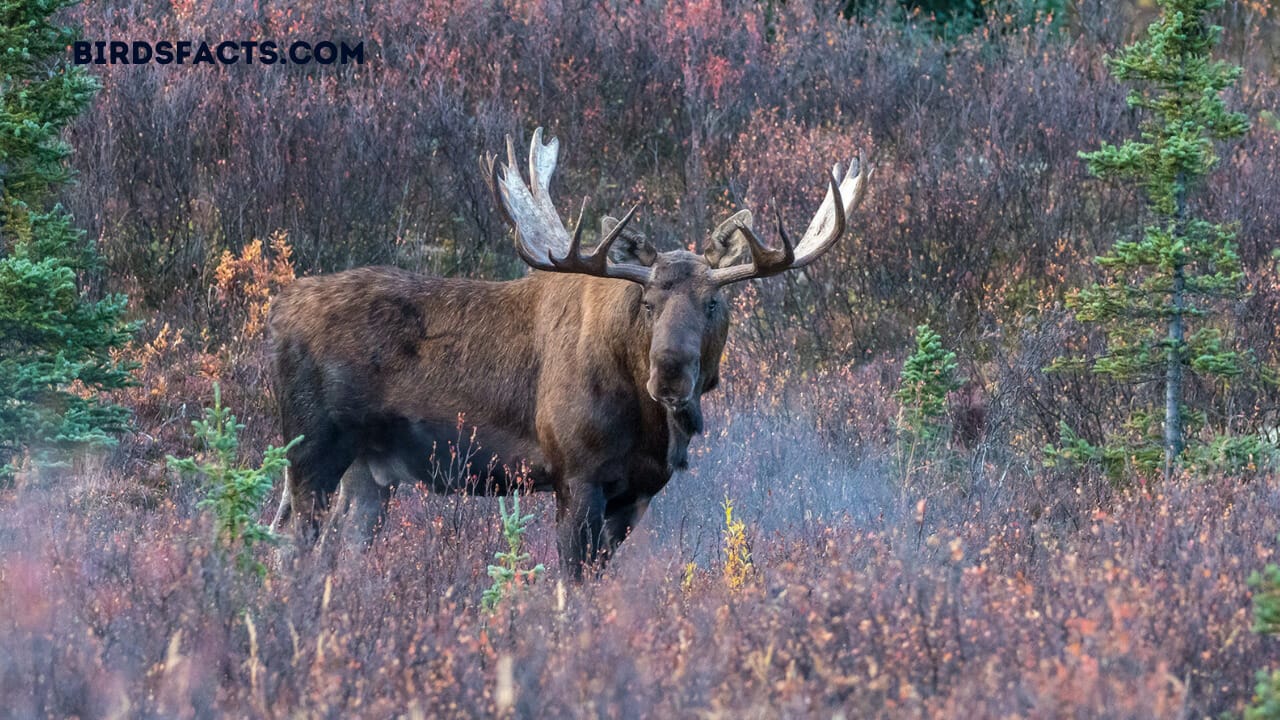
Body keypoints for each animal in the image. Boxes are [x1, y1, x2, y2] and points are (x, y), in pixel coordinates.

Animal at [270, 127, 870, 576]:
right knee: (292, 547)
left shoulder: (636, 493)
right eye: (647, 301)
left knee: (337, 554)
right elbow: (569, 586)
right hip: (311, 448)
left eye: (714, 302)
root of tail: (277, 313)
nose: (670, 375)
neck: (648, 428)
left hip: (370, 469)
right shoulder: (576, 474)